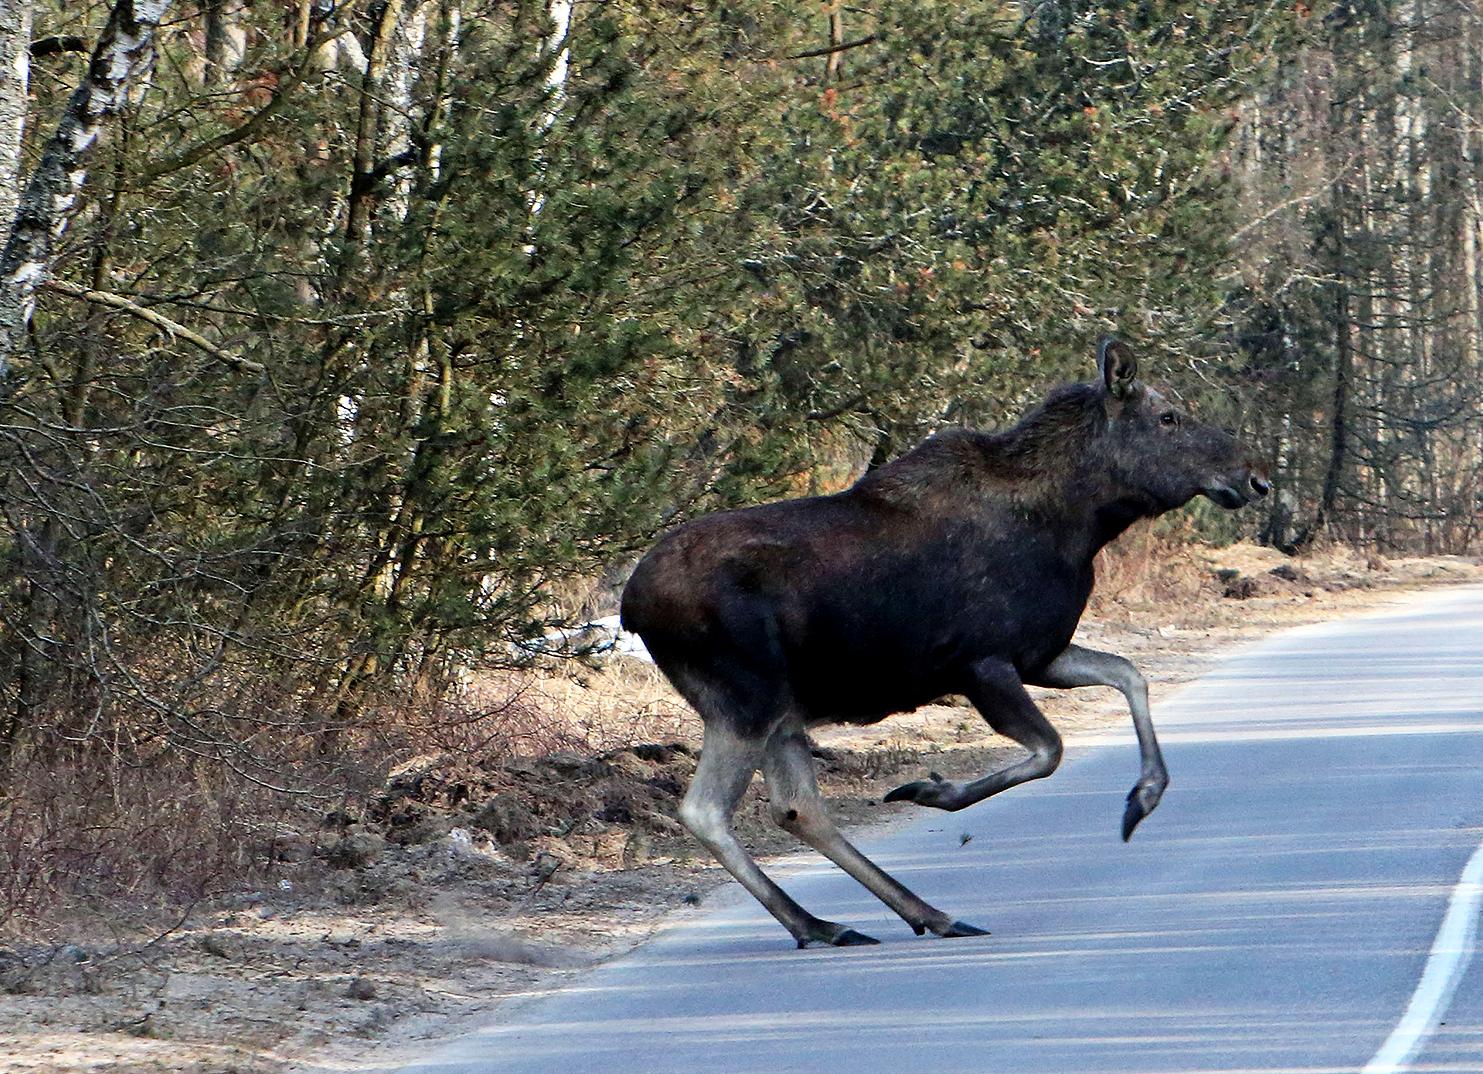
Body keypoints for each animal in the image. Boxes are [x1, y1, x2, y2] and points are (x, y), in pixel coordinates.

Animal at [619, 338, 1269, 949]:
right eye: (1168, 417)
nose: (1255, 477)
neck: (1082, 525)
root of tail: (630, 606)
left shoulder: (1041, 654)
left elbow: (1130, 673)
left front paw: (1143, 797)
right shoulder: (982, 662)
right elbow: (1050, 750)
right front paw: (932, 790)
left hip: (780, 706)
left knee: (799, 808)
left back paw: (899, 917)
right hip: (747, 697)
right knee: (707, 810)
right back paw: (822, 921)